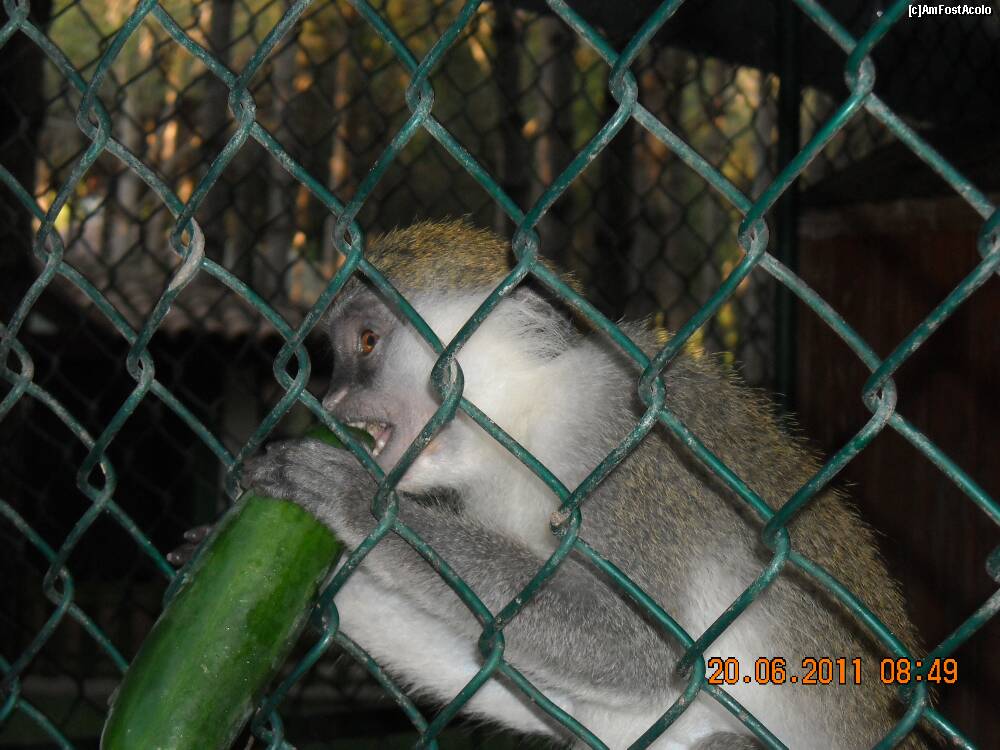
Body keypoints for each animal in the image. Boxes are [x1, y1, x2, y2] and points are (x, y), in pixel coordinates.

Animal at [189, 220, 930, 748]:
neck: (528, 418)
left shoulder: (627, 444)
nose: (334, 400)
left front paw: (361, 505)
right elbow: (505, 670)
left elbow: (646, 653)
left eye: (366, 342)